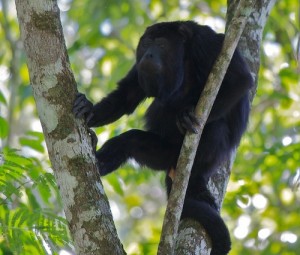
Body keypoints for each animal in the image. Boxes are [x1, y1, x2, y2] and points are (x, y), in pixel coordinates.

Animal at [72, 20, 253, 254]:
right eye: (146, 44)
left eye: (161, 45)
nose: (148, 54)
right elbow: (127, 94)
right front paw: (89, 109)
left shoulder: (206, 42)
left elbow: (239, 79)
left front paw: (186, 115)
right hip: (160, 155)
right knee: (129, 141)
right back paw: (99, 162)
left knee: (216, 128)